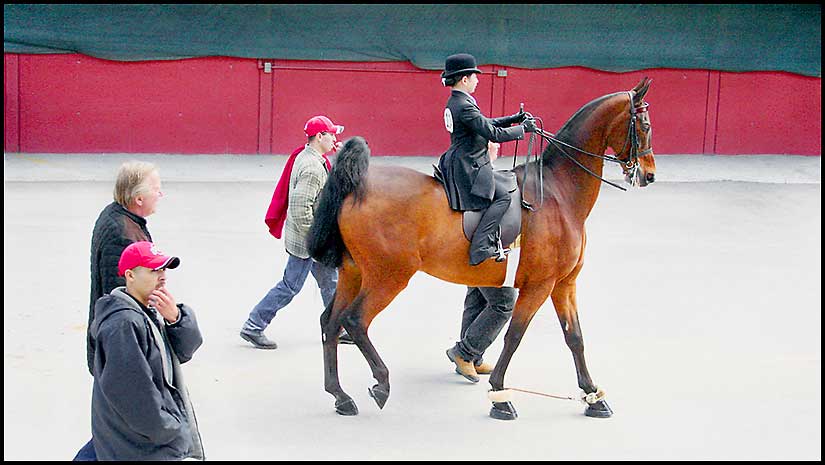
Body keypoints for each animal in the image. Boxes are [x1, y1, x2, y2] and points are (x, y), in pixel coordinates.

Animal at [308, 78, 656, 418]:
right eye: (645, 125)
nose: (649, 175)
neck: (558, 193)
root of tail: (357, 186)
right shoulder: (540, 286)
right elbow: (514, 336)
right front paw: (500, 396)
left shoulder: (564, 284)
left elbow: (575, 337)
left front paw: (593, 396)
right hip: (388, 277)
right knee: (355, 321)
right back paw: (381, 383)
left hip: (354, 272)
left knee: (330, 321)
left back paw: (340, 396)